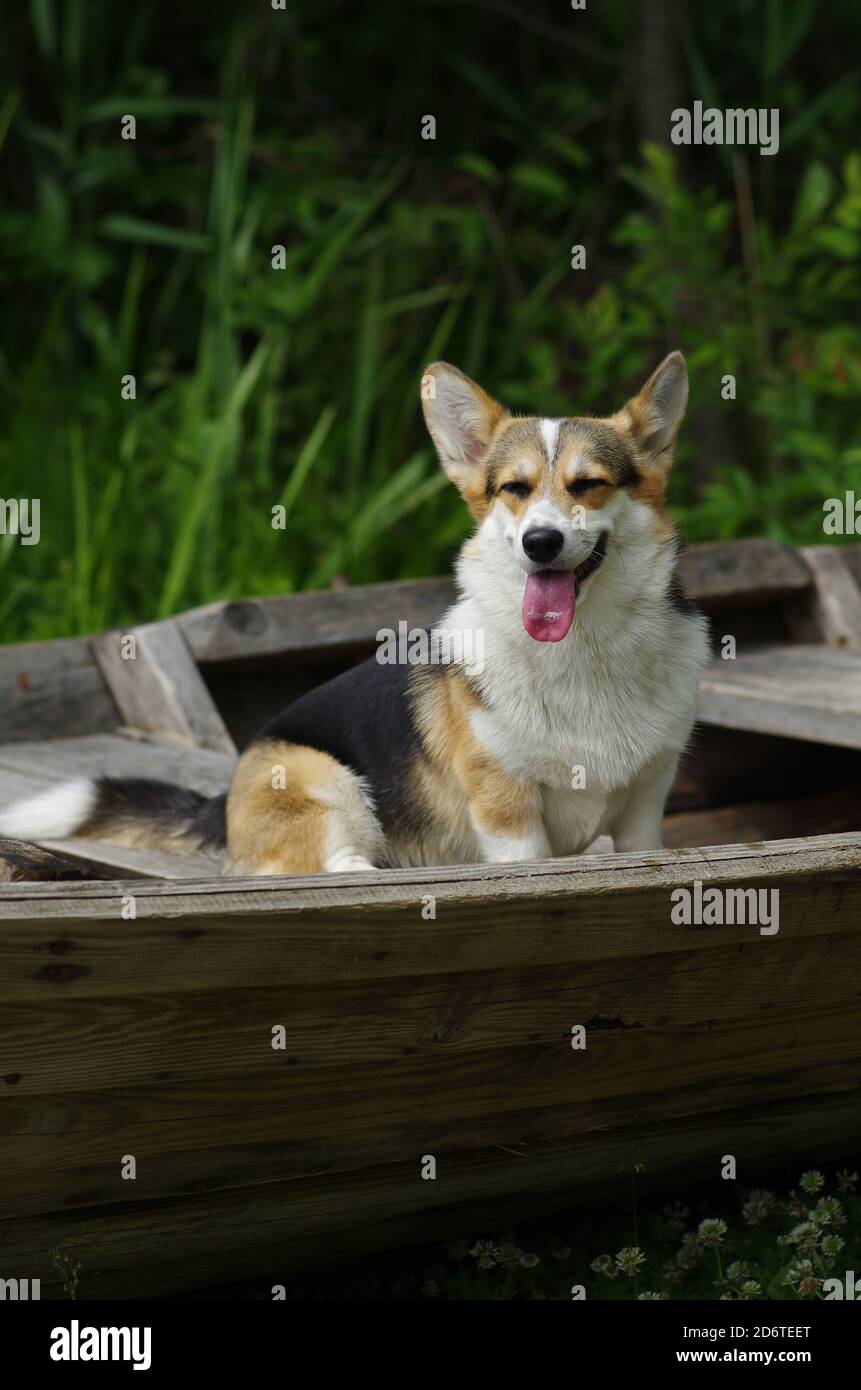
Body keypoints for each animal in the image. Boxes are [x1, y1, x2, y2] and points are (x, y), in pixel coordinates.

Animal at [3, 353, 712, 872]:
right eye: (514, 489)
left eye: (588, 485)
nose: (540, 542)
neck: (583, 652)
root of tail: (223, 799)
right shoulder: (509, 815)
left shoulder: (646, 809)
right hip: (328, 781)